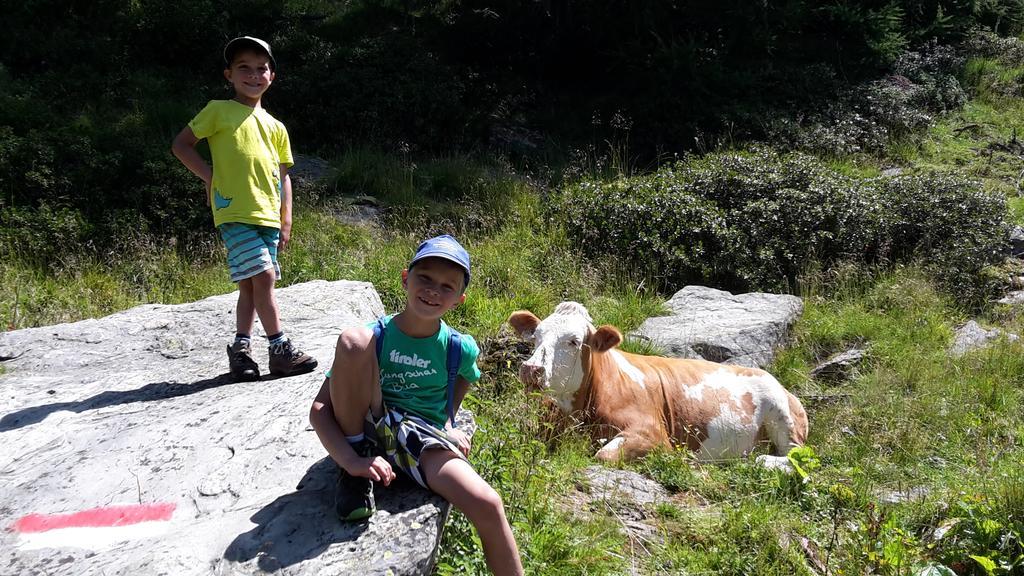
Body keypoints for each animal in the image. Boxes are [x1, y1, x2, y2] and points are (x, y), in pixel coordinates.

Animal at [503, 301, 806, 471]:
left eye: (574, 341)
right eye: (536, 336)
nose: (531, 369)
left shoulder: (653, 434)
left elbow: (603, 455)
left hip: (782, 417)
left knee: (796, 459)